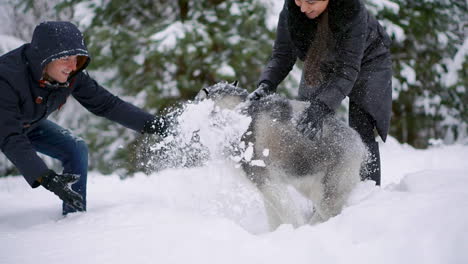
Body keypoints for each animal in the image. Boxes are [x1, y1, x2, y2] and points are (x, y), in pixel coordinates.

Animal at [195, 81, 370, 230]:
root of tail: (360, 144)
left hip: (327, 196)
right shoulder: (269, 185)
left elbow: (288, 213)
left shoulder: (267, 181)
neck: (233, 114)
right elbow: (274, 218)